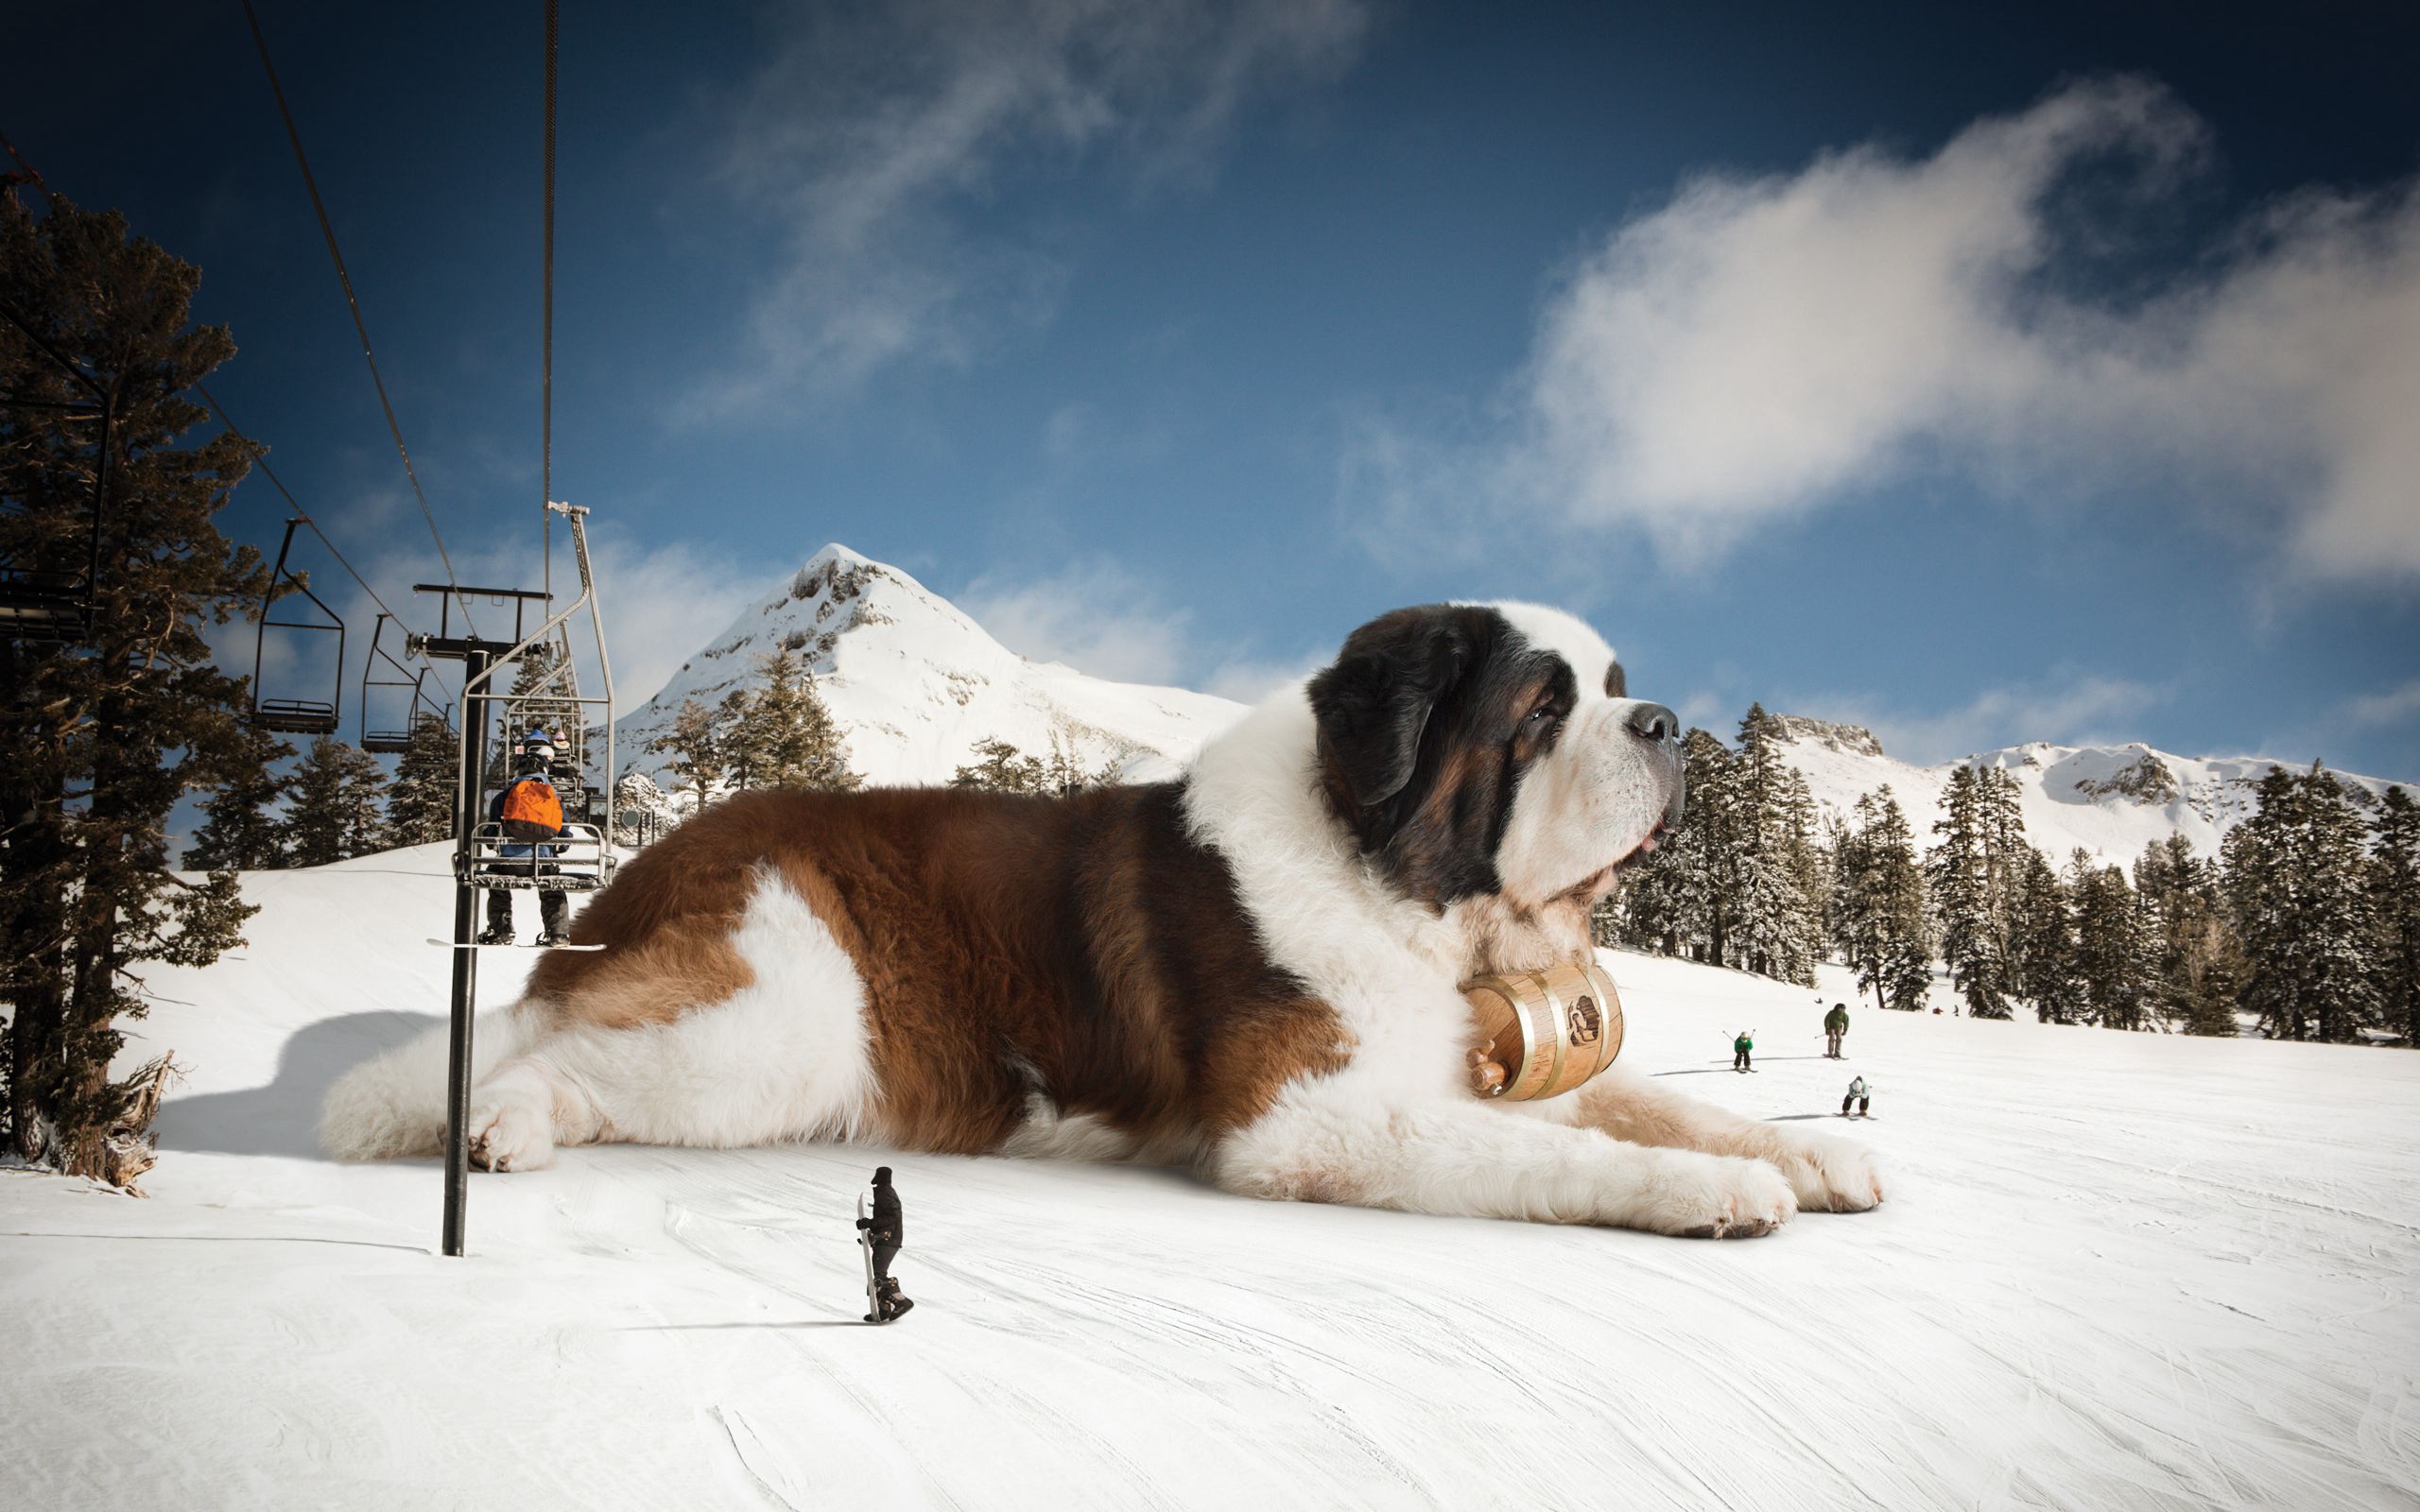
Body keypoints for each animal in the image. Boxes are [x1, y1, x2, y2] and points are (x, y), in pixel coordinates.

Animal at [321, 602, 1877, 1238]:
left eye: (1615, 686)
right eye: (1543, 708)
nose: (1664, 724)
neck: (1395, 879)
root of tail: (656, 860)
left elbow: (1657, 1101)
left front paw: (1811, 1158)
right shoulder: (1309, 1122)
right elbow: (1556, 1152)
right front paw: (1717, 1192)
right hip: (780, 1016)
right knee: (549, 1058)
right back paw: (496, 1125)